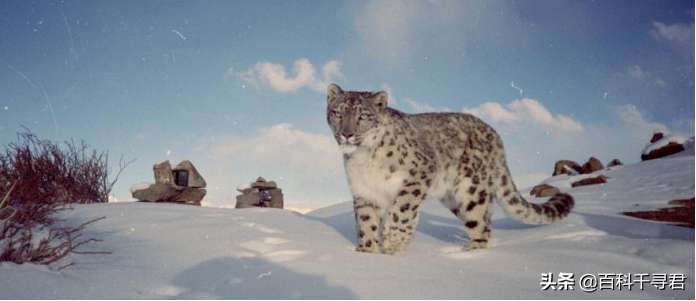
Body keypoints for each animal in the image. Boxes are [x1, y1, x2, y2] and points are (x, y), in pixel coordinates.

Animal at [324, 82, 572, 253]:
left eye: (363, 116)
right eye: (338, 113)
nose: (346, 133)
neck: (363, 158)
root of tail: (495, 135)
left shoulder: (419, 173)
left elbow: (402, 210)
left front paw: (394, 243)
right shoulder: (364, 191)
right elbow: (366, 223)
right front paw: (367, 252)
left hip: (471, 189)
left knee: (480, 222)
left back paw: (471, 253)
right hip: (453, 198)